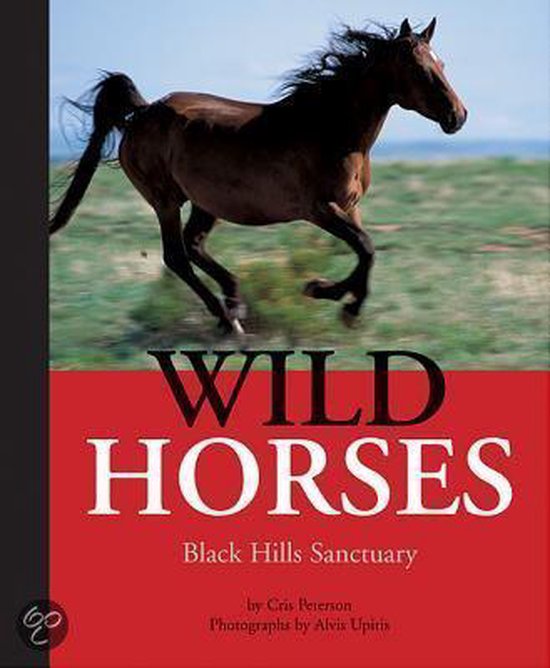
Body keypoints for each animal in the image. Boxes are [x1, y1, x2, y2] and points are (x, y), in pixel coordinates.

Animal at [50, 18, 467, 335]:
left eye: (443, 64)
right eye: (420, 69)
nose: (458, 117)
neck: (329, 129)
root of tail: (142, 112)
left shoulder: (350, 206)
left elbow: (366, 252)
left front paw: (327, 293)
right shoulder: (319, 209)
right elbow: (365, 248)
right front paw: (335, 301)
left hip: (205, 203)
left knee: (194, 245)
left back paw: (235, 302)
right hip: (164, 200)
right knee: (177, 256)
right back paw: (227, 318)